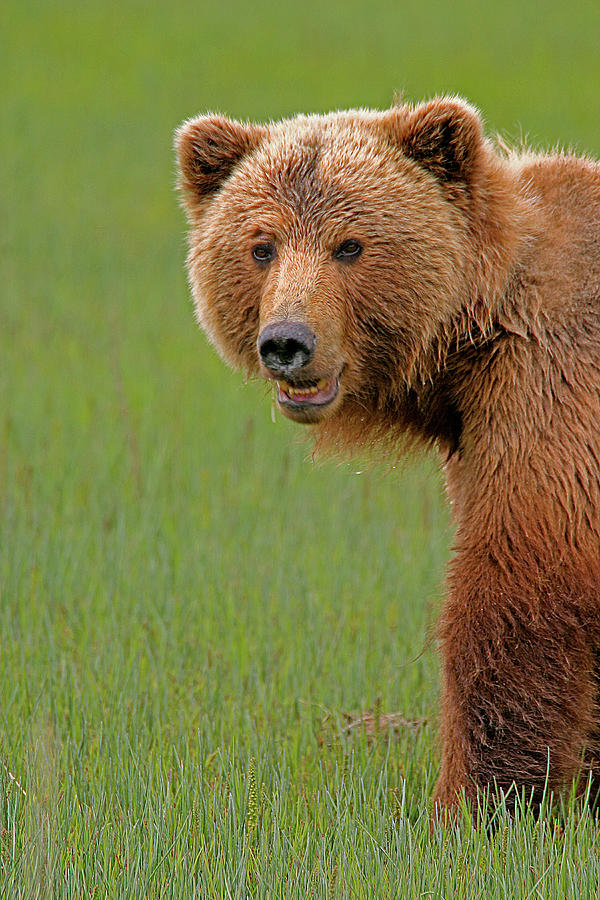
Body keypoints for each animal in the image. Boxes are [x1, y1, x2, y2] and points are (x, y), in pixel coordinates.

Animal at [176, 98, 600, 816]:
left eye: (350, 245)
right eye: (261, 246)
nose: (287, 341)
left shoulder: (548, 380)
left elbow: (521, 574)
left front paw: (478, 802)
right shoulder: (478, 429)